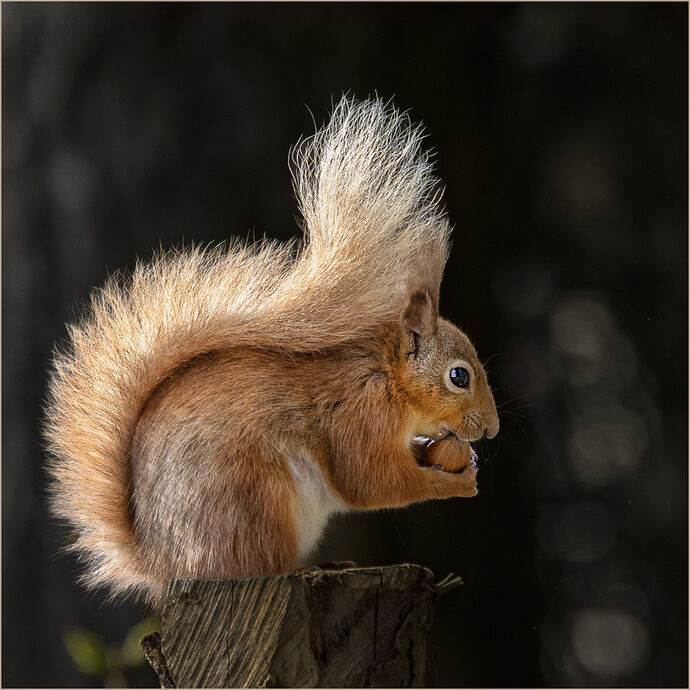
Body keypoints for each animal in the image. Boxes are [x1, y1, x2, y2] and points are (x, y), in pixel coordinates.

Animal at [45, 97, 499, 608]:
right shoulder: (357, 416)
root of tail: (163, 567)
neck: (387, 379)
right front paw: (455, 482)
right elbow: (369, 481)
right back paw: (306, 570)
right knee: (257, 563)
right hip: (256, 500)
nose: (493, 429)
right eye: (459, 377)